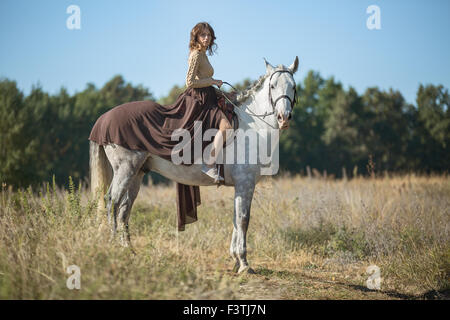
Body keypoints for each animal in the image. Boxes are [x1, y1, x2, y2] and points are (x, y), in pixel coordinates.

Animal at [89, 56, 298, 274]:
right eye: (273, 86)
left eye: (293, 86)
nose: (284, 117)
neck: (252, 126)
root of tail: (103, 120)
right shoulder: (245, 183)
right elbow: (243, 219)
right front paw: (244, 263)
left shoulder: (240, 186)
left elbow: (235, 218)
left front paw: (235, 260)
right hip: (125, 170)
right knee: (111, 202)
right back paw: (114, 247)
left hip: (136, 174)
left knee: (123, 209)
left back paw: (128, 251)